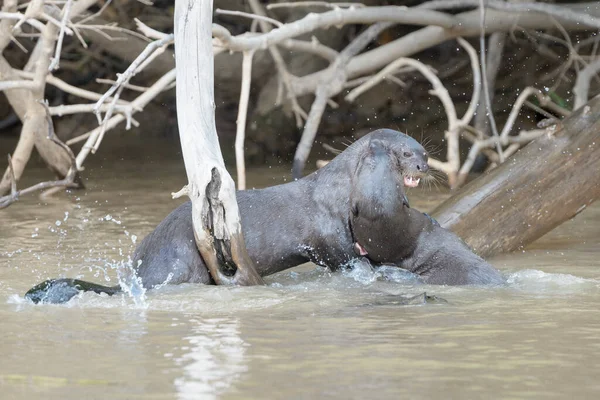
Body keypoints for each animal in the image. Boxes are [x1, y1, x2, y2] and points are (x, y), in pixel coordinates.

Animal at [23, 128, 502, 304]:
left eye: (424, 152)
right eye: (405, 153)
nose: (422, 166)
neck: (336, 191)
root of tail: (140, 267)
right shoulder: (326, 230)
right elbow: (344, 256)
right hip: (184, 260)